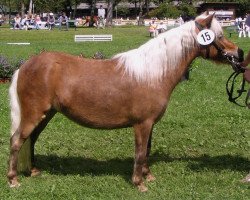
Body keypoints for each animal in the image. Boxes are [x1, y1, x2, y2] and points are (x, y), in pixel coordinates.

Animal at [7, 12, 244, 192]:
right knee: (17, 140)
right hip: (34, 114)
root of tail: (26, 65)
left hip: (46, 115)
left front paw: (148, 176)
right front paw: (139, 183)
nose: (240, 54)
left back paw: (33, 171)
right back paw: (13, 180)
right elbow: (139, 152)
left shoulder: (150, 124)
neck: (153, 73)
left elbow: (146, 151)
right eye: (219, 36)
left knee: (31, 140)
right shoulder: (142, 124)